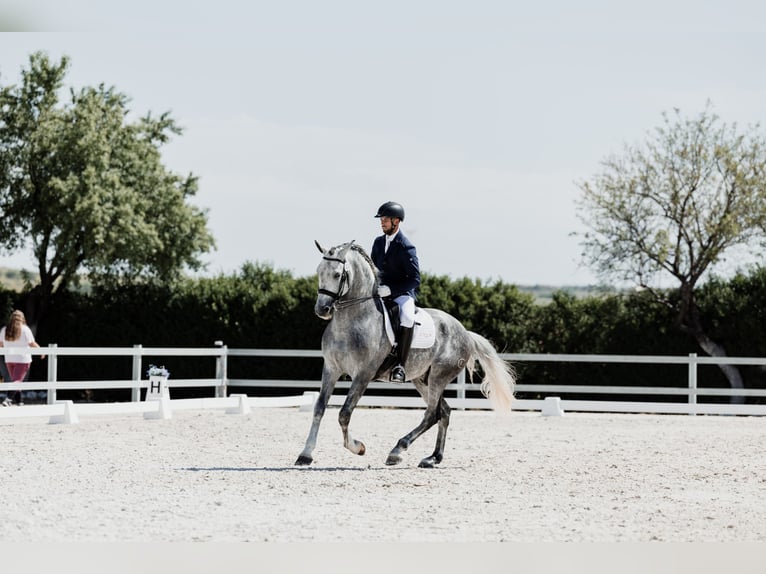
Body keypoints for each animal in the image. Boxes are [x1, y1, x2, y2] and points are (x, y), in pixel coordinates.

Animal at [296, 241, 516, 470]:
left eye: (338, 274)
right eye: (319, 272)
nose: (322, 309)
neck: (351, 322)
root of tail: (465, 333)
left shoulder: (363, 374)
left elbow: (344, 413)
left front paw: (358, 447)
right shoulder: (331, 368)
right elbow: (319, 408)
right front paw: (305, 454)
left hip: (438, 376)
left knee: (432, 414)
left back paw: (397, 451)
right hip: (422, 379)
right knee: (444, 412)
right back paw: (433, 457)